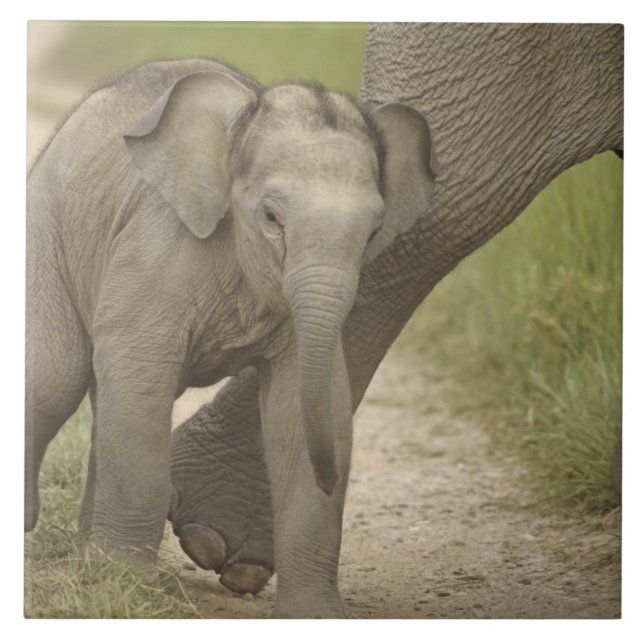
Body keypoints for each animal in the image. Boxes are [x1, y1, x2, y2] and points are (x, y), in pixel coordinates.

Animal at [25, 58, 440, 617]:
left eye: (374, 232)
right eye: (271, 217)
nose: (330, 478)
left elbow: (303, 408)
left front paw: (316, 614)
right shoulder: (158, 248)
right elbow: (140, 378)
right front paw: (130, 584)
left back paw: (89, 558)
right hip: (45, 225)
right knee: (55, 378)